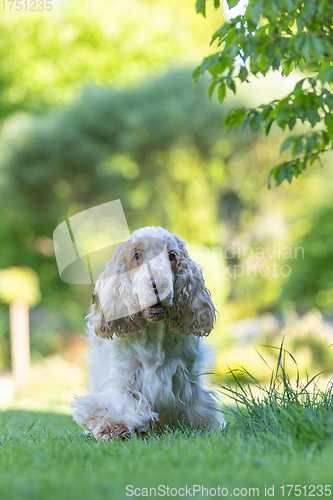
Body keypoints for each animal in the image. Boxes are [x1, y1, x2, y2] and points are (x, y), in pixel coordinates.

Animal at [71, 225, 224, 440]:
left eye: (172, 256)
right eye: (137, 255)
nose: (159, 284)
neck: (154, 331)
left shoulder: (188, 376)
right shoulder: (124, 374)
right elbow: (120, 403)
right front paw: (114, 426)